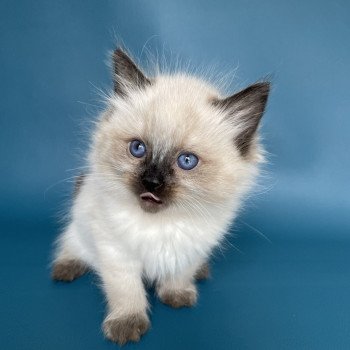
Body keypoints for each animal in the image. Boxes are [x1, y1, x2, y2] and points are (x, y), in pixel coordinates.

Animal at [52, 46, 270, 344]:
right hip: (81, 223)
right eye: (137, 148)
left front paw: (177, 295)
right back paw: (65, 269)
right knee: (70, 244)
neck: (163, 223)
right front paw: (126, 326)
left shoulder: (192, 248)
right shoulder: (116, 252)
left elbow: (180, 274)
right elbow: (127, 290)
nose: (151, 182)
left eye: (187, 161)